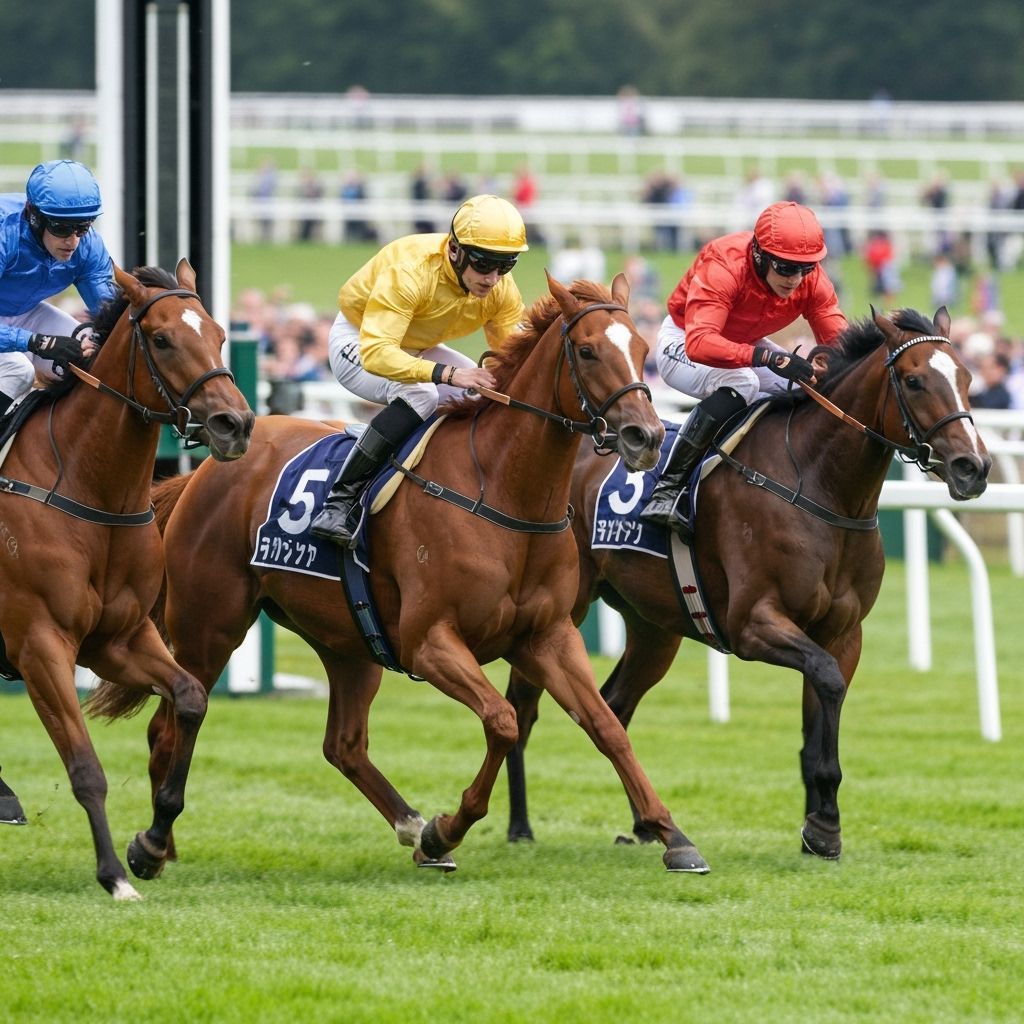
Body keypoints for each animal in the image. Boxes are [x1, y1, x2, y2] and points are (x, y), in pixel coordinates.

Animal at [0, 261, 254, 899]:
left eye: (219, 335)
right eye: (161, 340)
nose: (235, 424)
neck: (92, 492)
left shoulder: (118, 639)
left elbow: (189, 700)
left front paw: (152, 843)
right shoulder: (39, 644)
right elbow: (86, 769)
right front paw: (115, 875)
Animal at [88, 273, 717, 875]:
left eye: (642, 348)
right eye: (587, 351)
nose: (645, 436)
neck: (503, 493)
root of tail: (202, 473)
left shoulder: (548, 636)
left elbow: (607, 727)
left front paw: (673, 837)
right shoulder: (429, 642)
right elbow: (503, 720)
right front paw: (449, 826)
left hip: (346, 640)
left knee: (343, 745)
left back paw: (410, 828)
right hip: (210, 623)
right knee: (170, 724)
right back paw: (154, 843)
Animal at [504, 306, 991, 861]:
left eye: (966, 378)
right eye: (914, 380)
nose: (974, 467)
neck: (821, 488)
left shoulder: (842, 633)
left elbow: (823, 701)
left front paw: (819, 826)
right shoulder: (754, 624)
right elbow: (826, 680)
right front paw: (824, 823)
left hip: (654, 627)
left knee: (615, 703)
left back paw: (647, 827)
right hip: (558, 612)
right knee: (523, 707)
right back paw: (519, 825)